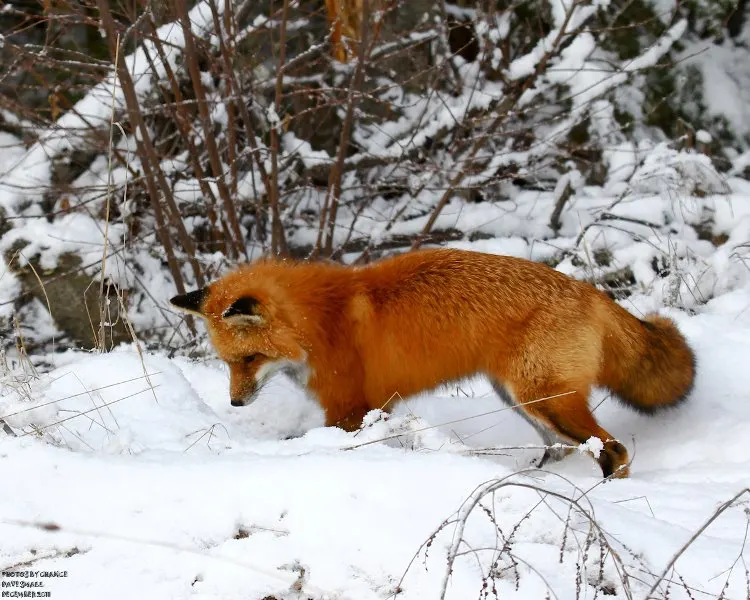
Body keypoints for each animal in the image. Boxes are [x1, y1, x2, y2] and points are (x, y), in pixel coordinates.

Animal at [170, 248, 696, 479]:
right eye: (227, 363)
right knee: (563, 449)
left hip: (542, 397)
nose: (235, 404)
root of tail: (590, 290)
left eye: (250, 358)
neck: (320, 323)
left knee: (612, 451)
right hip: (521, 398)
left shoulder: (348, 409)